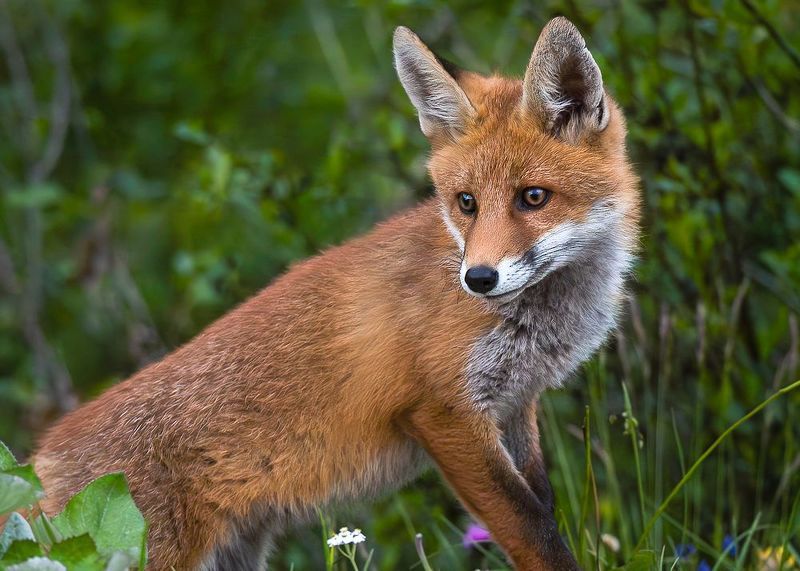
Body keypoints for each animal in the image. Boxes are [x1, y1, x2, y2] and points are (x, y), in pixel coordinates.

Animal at [32, 16, 639, 571]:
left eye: (533, 197)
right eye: (466, 202)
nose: (479, 279)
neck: (541, 319)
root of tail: (40, 458)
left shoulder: (515, 405)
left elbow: (546, 507)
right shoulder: (444, 412)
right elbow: (536, 535)